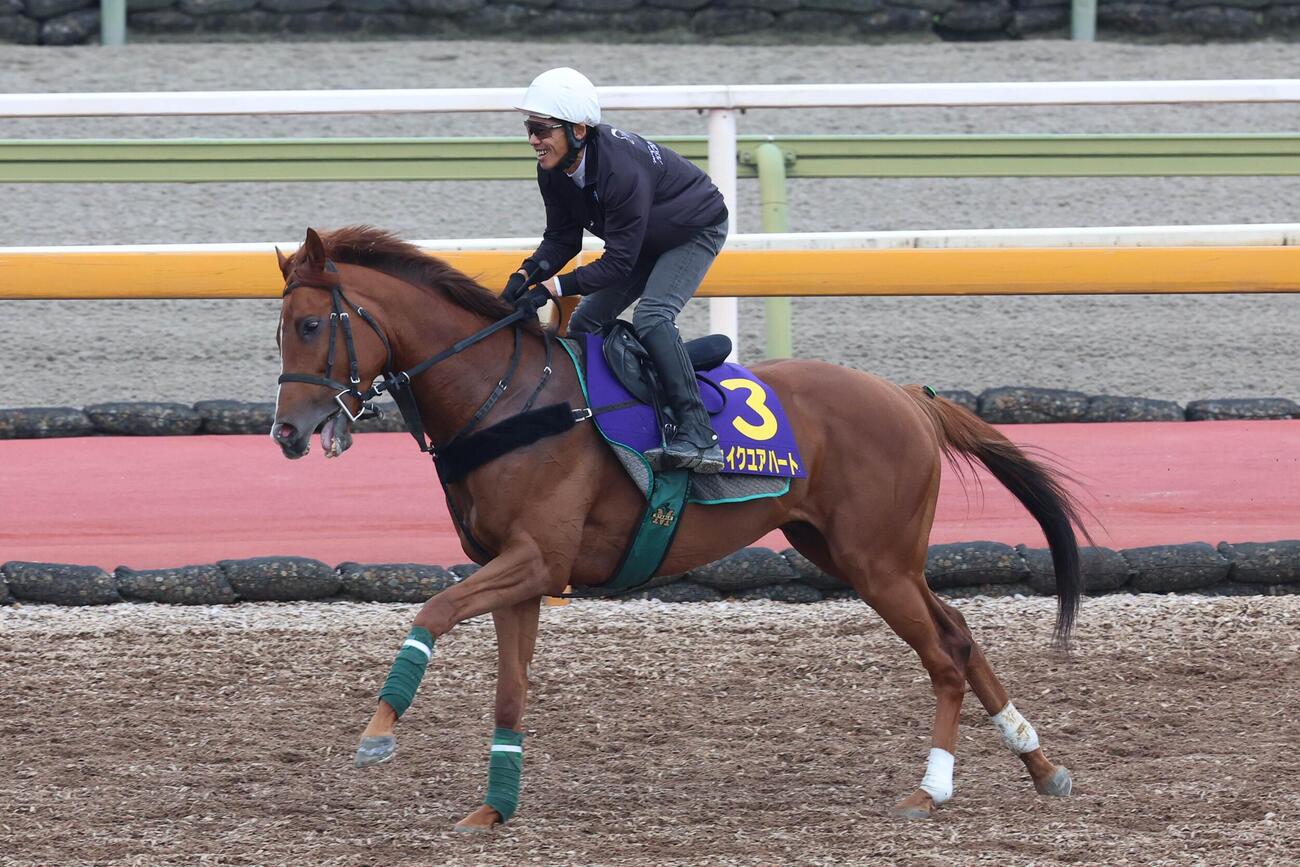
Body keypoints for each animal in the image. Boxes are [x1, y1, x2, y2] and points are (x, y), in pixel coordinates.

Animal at [271, 225, 1086, 832]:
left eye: (310, 324)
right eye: (277, 332)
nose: (286, 432)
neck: (505, 397)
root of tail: (911, 397)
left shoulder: (537, 559)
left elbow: (432, 610)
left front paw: (378, 731)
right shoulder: (519, 573)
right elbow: (510, 690)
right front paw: (494, 808)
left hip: (877, 561)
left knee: (944, 655)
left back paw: (933, 787)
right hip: (860, 554)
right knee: (960, 632)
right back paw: (1039, 761)